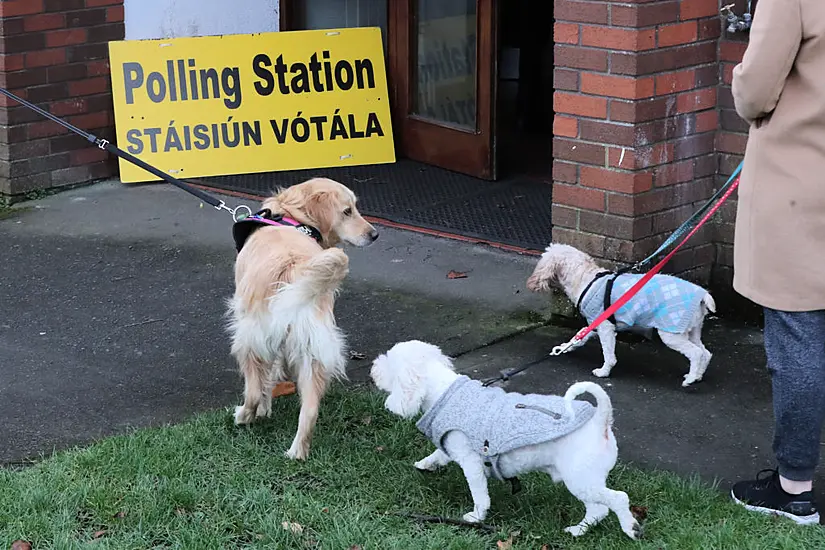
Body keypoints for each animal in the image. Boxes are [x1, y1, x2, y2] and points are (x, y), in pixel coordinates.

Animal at [370, 342, 640, 540]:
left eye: (389, 363)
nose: (373, 368)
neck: (443, 390)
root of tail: (601, 421)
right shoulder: (452, 445)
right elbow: (439, 454)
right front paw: (425, 464)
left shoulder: (471, 461)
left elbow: (479, 494)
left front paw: (476, 517)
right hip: (584, 479)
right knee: (598, 509)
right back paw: (578, 530)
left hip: (580, 478)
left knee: (617, 499)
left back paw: (630, 529)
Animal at [528, 244, 716, 390]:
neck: (586, 280)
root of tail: (703, 295)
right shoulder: (595, 323)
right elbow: (580, 335)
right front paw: (566, 347)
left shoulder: (605, 327)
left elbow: (608, 354)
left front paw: (604, 372)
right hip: (693, 329)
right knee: (705, 352)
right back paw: (697, 375)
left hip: (672, 333)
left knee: (696, 353)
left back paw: (690, 379)